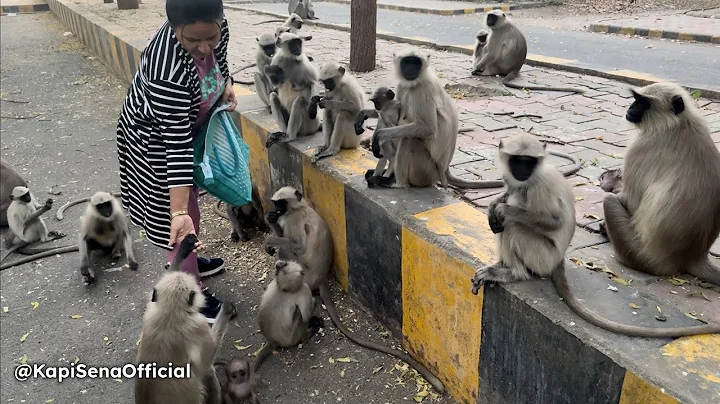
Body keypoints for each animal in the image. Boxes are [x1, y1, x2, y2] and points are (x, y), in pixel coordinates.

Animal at [135, 234, 236, 404]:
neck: (169, 314)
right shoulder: (197, 327)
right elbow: (208, 356)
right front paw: (226, 310)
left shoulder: (152, 309)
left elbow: (170, 272)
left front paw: (185, 246)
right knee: (207, 370)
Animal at [260, 187, 446, 392]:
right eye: (275, 203)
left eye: (281, 202)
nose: (276, 210)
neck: (297, 208)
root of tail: (321, 276)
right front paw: (270, 219)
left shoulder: (295, 219)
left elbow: (298, 246)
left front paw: (270, 239)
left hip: (304, 273)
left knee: (286, 251)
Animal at [367, 49, 582, 190]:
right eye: (407, 62)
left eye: (416, 63)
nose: (411, 69)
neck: (415, 82)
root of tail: (444, 171)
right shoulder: (403, 86)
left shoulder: (423, 90)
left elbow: (426, 128)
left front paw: (378, 137)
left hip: (425, 171)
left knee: (409, 139)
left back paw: (397, 184)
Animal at [470, 133, 720, 338]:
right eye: (517, 160)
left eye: (528, 161)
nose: (522, 170)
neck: (532, 177)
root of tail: (558, 260)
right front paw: (493, 204)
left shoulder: (539, 185)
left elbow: (553, 220)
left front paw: (501, 209)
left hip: (542, 256)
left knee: (512, 226)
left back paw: (514, 272)